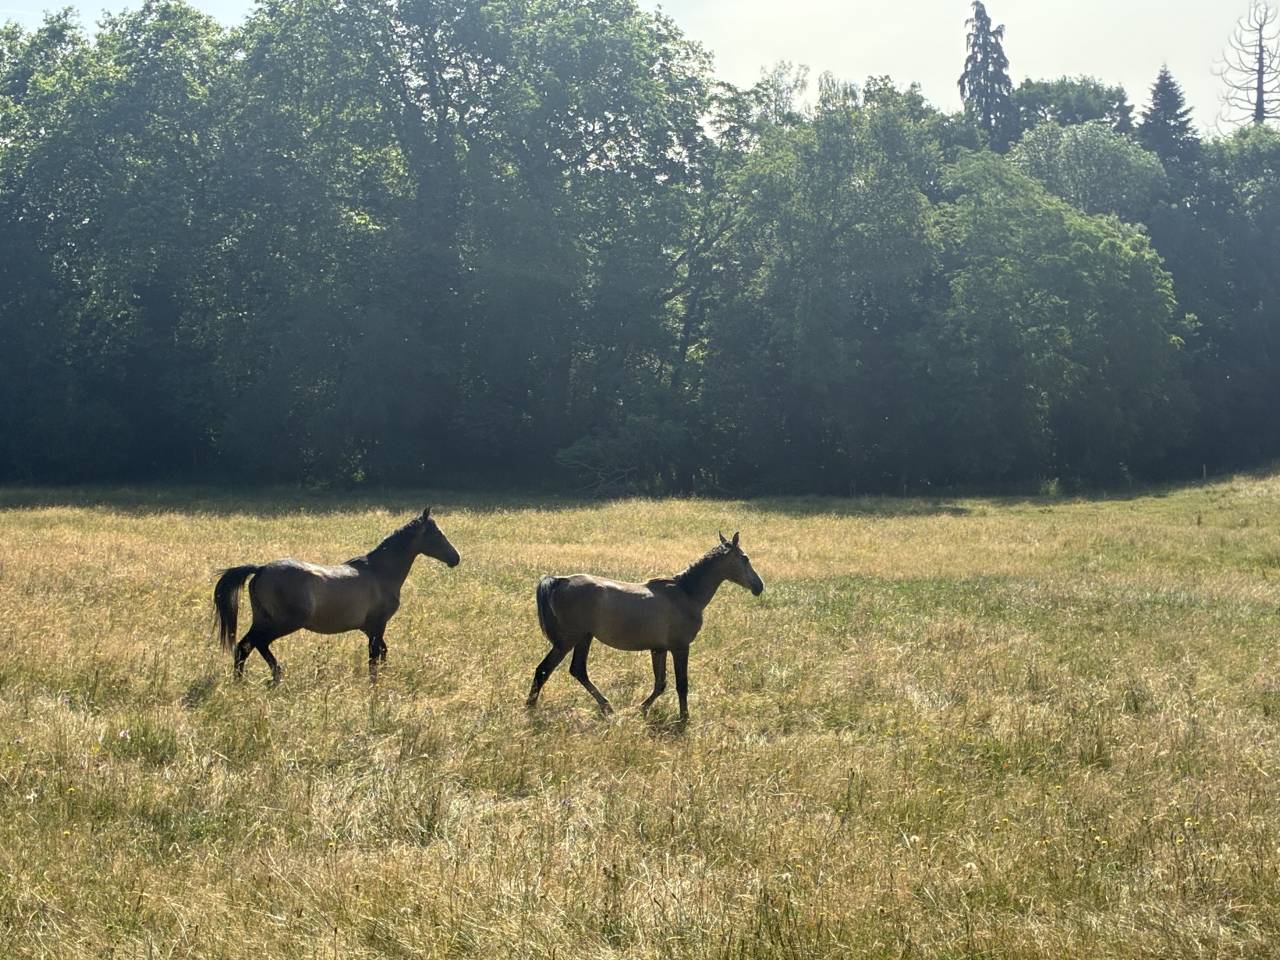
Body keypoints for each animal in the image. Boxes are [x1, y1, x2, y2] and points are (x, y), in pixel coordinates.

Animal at [212, 507, 460, 682]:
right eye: (438, 534)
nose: (455, 558)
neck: (379, 572)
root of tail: (262, 569)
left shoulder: (370, 628)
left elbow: (382, 652)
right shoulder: (377, 624)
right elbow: (374, 656)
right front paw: (375, 685)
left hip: (263, 619)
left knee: (244, 646)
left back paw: (242, 682)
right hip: (284, 622)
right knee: (255, 644)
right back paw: (276, 676)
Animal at [526, 531, 764, 721]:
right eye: (745, 558)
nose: (759, 586)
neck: (686, 593)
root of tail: (559, 580)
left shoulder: (659, 649)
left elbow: (660, 684)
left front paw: (640, 709)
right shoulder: (680, 648)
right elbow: (681, 684)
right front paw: (684, 717)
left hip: (584, 638)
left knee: (578, 670)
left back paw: (607, 707)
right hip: (568, 640)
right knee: (544, 670)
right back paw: (530, 709)